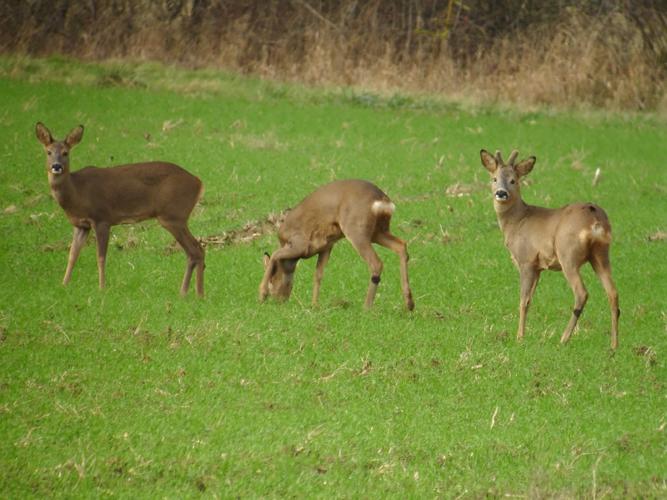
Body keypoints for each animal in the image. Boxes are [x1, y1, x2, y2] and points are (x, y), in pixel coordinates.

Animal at [34, 122, 205, 294]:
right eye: (48, 152)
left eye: (65, 152)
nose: (56, 166)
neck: (77, 193)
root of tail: (199, 182)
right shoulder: (81, 225)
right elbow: (72, 255)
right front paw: (64, 284)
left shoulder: (102, 218)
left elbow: (101, 257)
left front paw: (102, 288)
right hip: (175, 217)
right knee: (195, 251)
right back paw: (187, 293)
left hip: (173, 215)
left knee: (196, 250)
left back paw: (196, 293)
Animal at [258, 180, 414, 310]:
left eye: (272, 279)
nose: (278, 301)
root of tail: (383, 200)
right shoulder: (327, 246)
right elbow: (318, 274)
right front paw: (314, 305)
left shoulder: (299, 244)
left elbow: (275, 255)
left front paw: (262, 295)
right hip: (379, 231)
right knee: (401, 245)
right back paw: (409, 303)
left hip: (357, 230)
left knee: (376, 262)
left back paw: (367, 306)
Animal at [480, 149, 620, 348]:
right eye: (494, 178)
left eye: (514, 180)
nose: (501, 193)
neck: (517, 221)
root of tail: (596, 220)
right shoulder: (538, 267)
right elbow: (530, 299)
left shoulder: (526, 260)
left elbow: (523, 300)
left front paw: (519, 337)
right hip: (601, 254)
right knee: (613, 293)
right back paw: (614, 345)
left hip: (568, 255)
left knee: (582, 293)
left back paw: (564, 339)